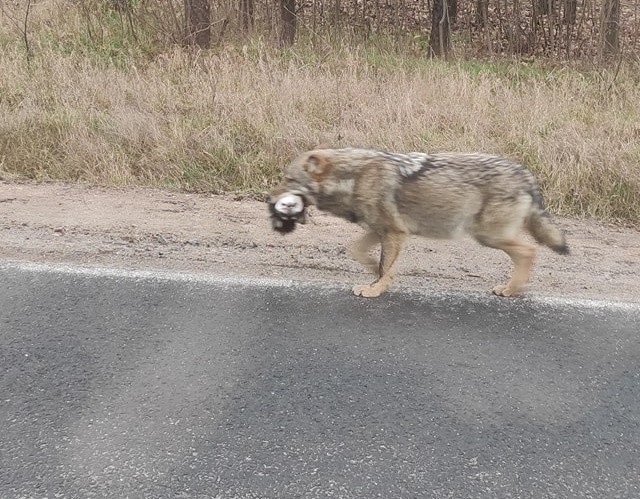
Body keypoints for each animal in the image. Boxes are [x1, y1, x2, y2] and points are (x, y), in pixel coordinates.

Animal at [268, 146, 568, 298]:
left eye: (288, 179)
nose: (268, 198)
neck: (354, 177)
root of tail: (526, 175)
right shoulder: (381, 231)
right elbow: (361, 253)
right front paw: (377, 277)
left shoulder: (395, 233)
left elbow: (384, 265)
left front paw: (375, 289)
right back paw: (512, 288)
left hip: (487, 236)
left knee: (529, 251)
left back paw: (511, 289)